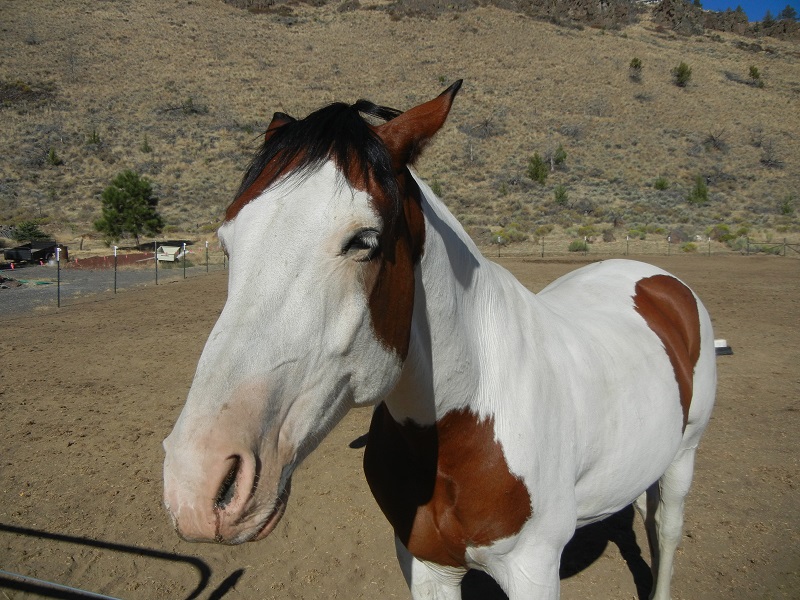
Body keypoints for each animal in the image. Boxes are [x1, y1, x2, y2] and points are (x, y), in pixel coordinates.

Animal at [162, 81, 716, 600]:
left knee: (666, 529)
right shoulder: (426, 562)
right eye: (228, 242)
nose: (199, 482)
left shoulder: (534, 569)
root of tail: (657, 279)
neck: (467, 425)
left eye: (364, 241)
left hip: (685, 455)